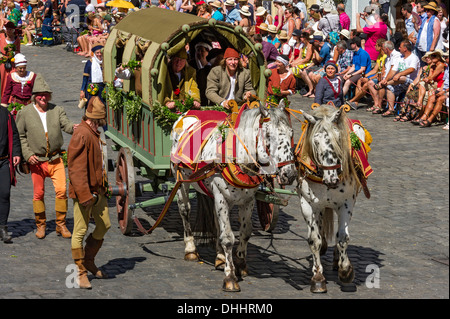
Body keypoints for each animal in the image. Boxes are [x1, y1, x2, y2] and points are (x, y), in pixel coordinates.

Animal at [169, 100, 296, 292]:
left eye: (291, 134)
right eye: (268, 135)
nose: (290, 174)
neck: (239, 157)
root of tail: (185, 113)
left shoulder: (248, 201)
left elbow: (245, 232)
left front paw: (240, 264)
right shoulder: (221, 195)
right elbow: (228, 238)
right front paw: (230, 277)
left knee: (216, 222)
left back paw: (220, 257)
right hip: (181, 179)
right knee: (185, 210)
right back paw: (191, 249)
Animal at [296, 104, 372, 294]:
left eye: (338, 138)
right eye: (316, 141)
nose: (332, 178)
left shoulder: (346, 204)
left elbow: (342, 237)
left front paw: (346, 271)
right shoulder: (308, 204)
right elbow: (314, 240)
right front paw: (317, 277)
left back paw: (338, 260)